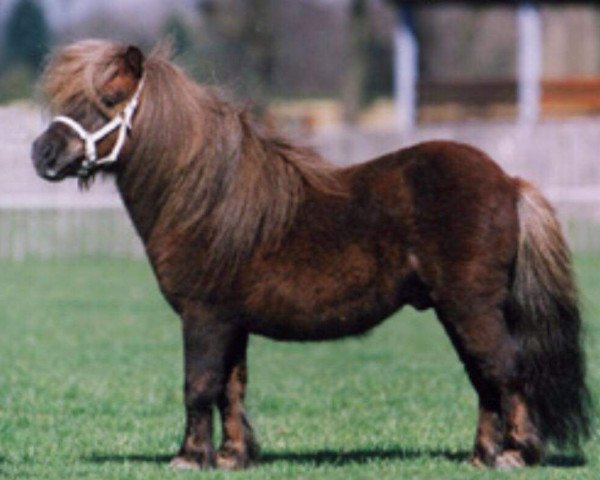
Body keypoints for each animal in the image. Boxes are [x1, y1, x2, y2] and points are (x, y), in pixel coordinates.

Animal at [30, 41, 588, 468]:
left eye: (107, 97)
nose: (43, 154)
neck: (205, 199)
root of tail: (509, 183)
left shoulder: (203, 317)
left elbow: (199, 385)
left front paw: (189, 457)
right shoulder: (231, 323)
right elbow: (232, 388)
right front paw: (232, 456)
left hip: (472, 307)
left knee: (505, 370)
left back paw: (515, 453)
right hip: (457, 311)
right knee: (484, 377)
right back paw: (480, 456)